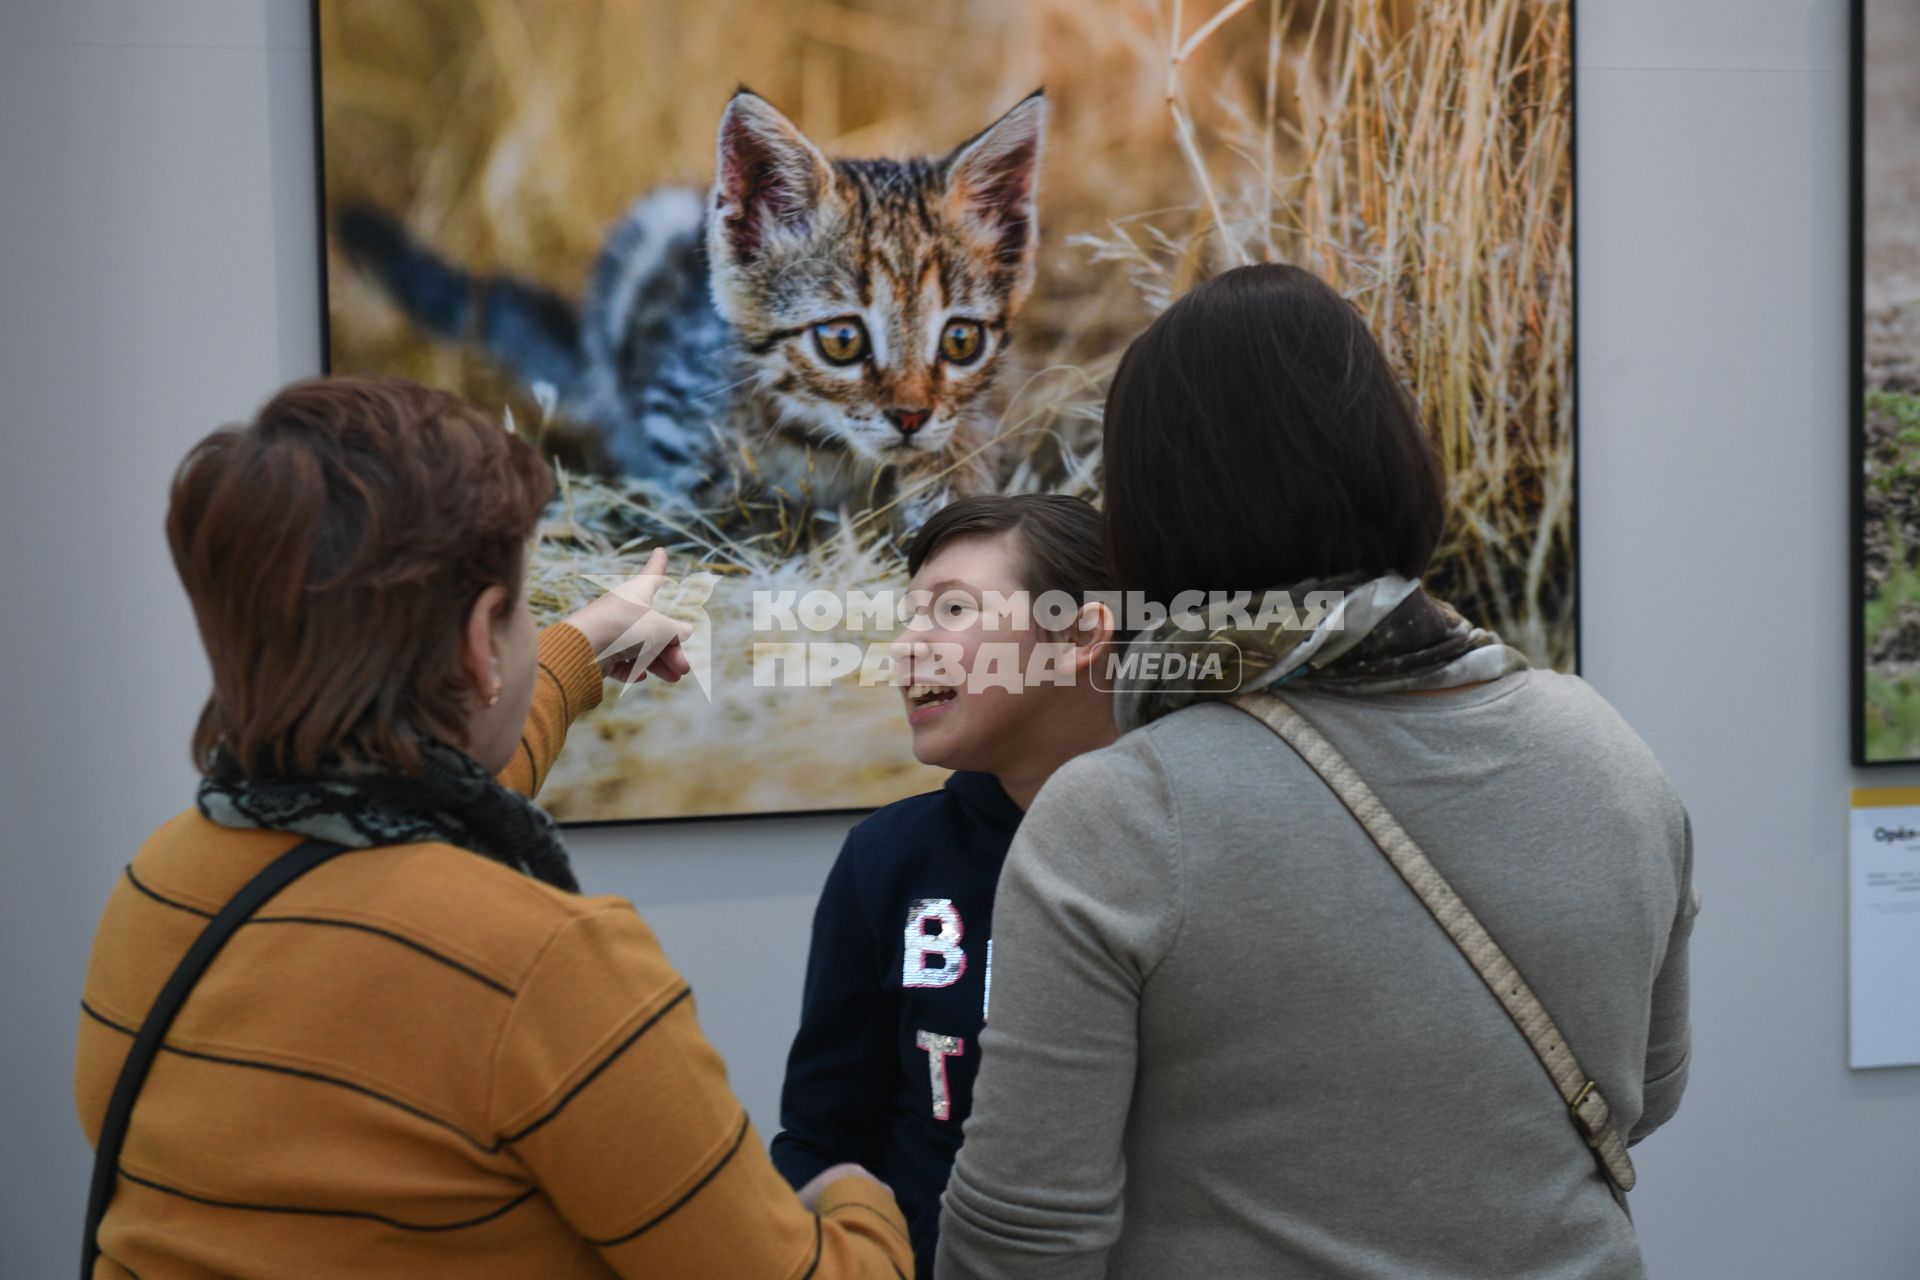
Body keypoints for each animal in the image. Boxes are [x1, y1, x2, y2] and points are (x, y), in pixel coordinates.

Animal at [337, 90, 1044, 529]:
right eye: (841, 339)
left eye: (960, 342)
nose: (910, 418)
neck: (830, 446)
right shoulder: (669, 418)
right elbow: (726, 502)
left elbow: (969, 438)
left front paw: (949, 483)